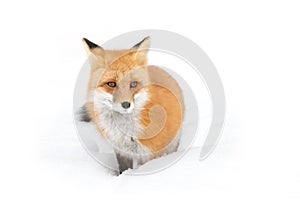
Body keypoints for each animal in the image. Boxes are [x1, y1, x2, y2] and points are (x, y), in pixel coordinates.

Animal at [81, 36, 184, 174]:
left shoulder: (151, 152)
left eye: (133, 84)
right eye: (111, 84)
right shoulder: (121, 152)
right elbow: (123, 169)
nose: (126, 104)